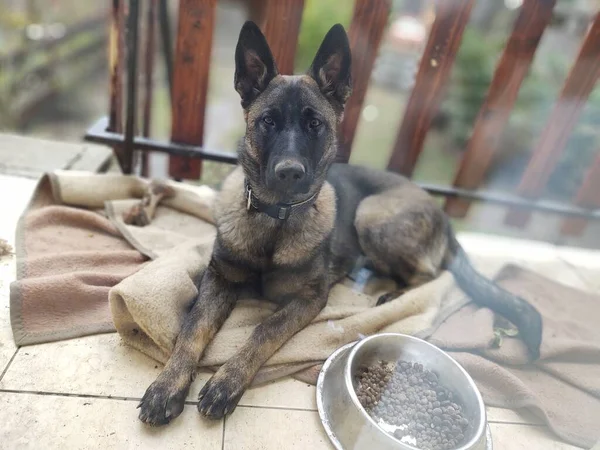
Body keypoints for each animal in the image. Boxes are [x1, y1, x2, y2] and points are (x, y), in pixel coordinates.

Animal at [137, 20, 544, 426]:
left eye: (314, 124)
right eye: (268, 121)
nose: (290, 173)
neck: (276, 221)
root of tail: (442, 213)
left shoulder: (309, 298)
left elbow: (265, 330)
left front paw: (227, 381)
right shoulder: (219, 279)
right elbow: (192, 330)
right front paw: (167, 385)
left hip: (372, 216)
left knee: (430, 274)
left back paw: (393, 295)